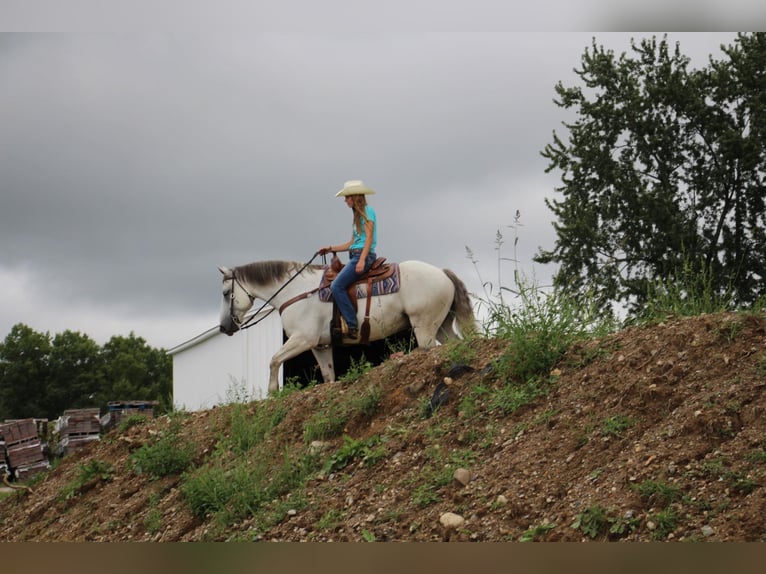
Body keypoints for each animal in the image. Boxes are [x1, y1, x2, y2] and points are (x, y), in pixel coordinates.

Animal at [219, 258, 476, 394]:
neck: (296, 292)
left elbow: (273, 360)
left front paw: (272, 392)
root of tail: (443, 273)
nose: (223, 327)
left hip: (425, 327)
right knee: (455, 342)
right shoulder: (320, 346)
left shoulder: (303, 339)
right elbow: (328, 376)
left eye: (224, 293)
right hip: (441, 325)